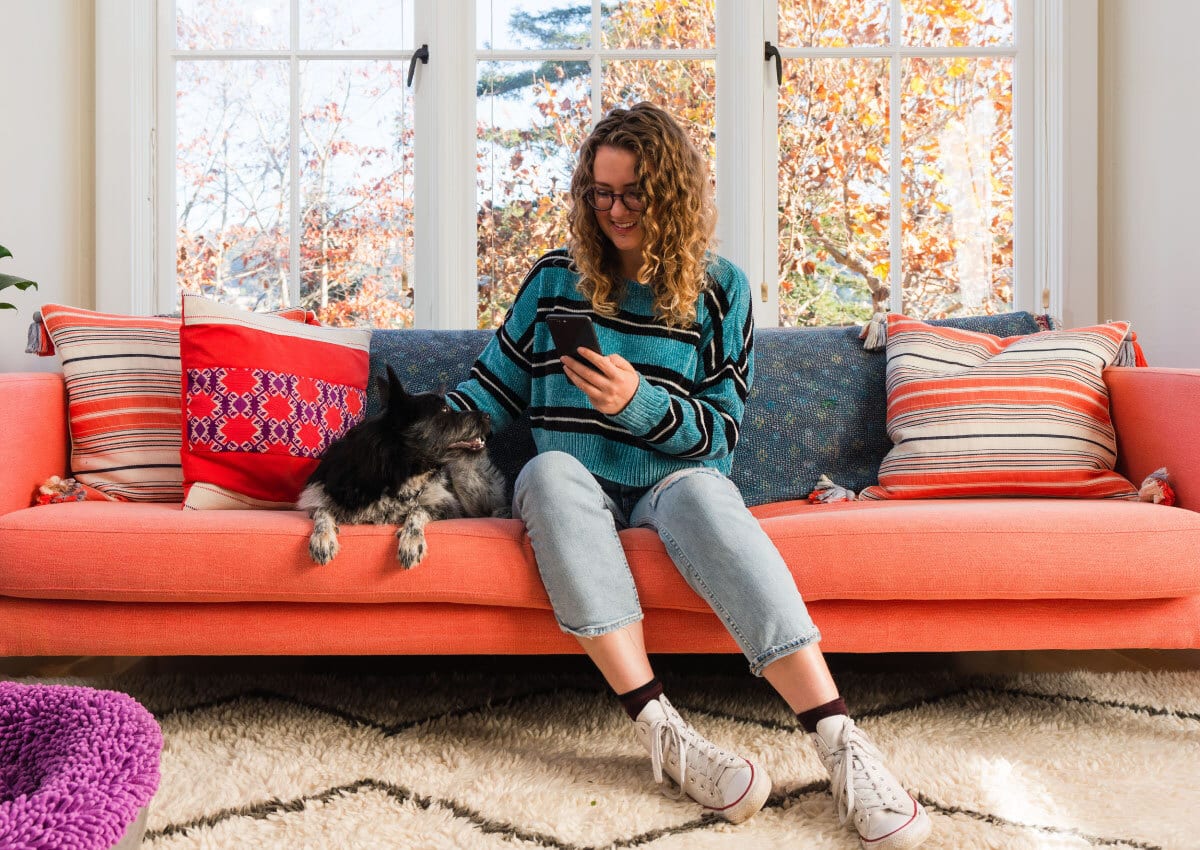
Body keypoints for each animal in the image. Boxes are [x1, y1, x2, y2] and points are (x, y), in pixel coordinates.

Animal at [302, 362, 508, 566]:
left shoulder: (448, 507)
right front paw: (322, 538)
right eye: (444, 410)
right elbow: (322, 509)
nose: (488, 415)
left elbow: (418, 509)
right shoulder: (317, 496)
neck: (391, 473)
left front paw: (411, 541)